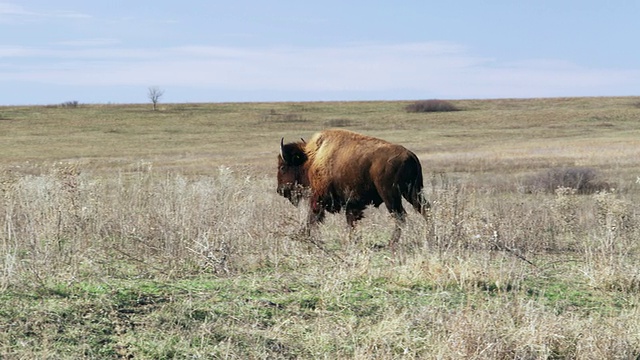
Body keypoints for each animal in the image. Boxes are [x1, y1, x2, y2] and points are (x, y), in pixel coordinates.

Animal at [276, 127, 430, 248]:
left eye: (283, 167)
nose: (280, 190)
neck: (312, 158)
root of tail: (410, 155)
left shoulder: (319, 198)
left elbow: (312, 217)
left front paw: (301, 235)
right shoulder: (352, 203)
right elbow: (350, 221)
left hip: (391, 195)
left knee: (400, 216)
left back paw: (391, 243)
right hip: (412, 192)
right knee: (424, 209)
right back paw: (429, 237)